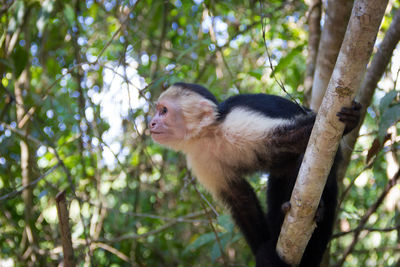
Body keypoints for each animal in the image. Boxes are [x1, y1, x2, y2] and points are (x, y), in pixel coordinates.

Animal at [148, 82, 360, 266]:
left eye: (164, 111)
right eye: (158, 110)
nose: (151, 123)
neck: (208, 134)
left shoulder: (235, 123)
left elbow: (285, 139)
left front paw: (351, 122)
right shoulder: (200, 158)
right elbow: (240, 198)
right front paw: (264, 249)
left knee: (304, 161)